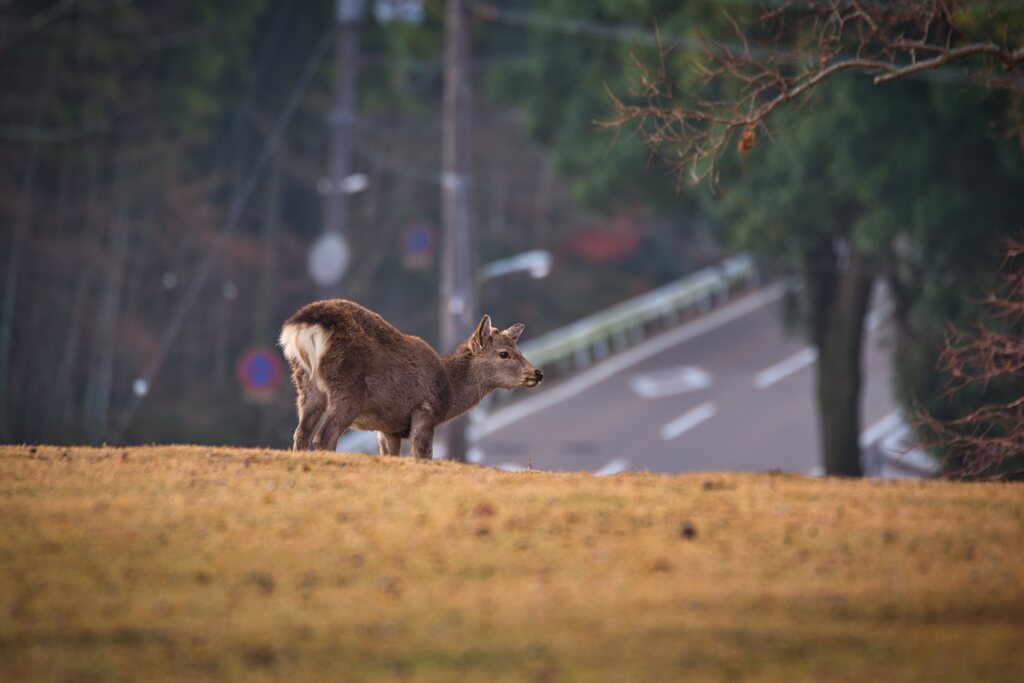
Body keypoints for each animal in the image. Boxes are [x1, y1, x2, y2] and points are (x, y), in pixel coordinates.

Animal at [276, 299, 540, 458]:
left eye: (519, 350)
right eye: (504, 353)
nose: (538, 373)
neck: (449, 392)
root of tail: (300, 327)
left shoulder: (388, 427)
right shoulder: (424, 410)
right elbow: (423, 455)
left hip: (306, 384)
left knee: (301, 432)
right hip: (347, 387)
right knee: (324, 435)